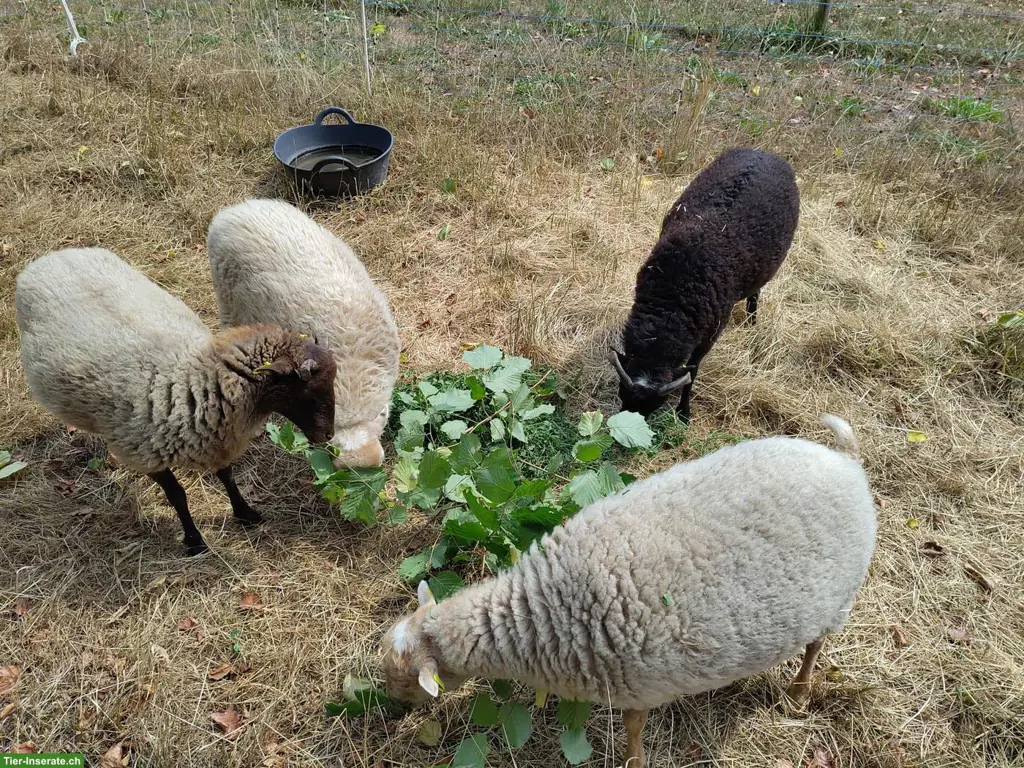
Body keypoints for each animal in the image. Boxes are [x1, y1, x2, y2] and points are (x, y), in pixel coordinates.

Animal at [15, 247, 337, 556]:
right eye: (308, 390)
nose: (328, 437)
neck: (196, 380)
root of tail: (50, 257)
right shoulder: (145, 454)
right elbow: (177, 496)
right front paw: (194, 541)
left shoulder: (216, 438)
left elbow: (228, 476)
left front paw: (245, 513)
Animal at [380, 414, 875, 768]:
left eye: (405, 679)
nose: (392, 708)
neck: (542, 609)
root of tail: (845, 459)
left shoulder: (639, 682)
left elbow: (633, 728)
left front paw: (634, 761)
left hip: (839, 595)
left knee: (815, 646)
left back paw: (799, 691)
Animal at [610, 147, 800, 422]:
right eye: (622, 393)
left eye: (656, 405)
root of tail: (764, 152)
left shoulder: (710, 334)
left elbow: (693, 372)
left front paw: (684, 412)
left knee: (756, 292)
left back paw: (752, 321)